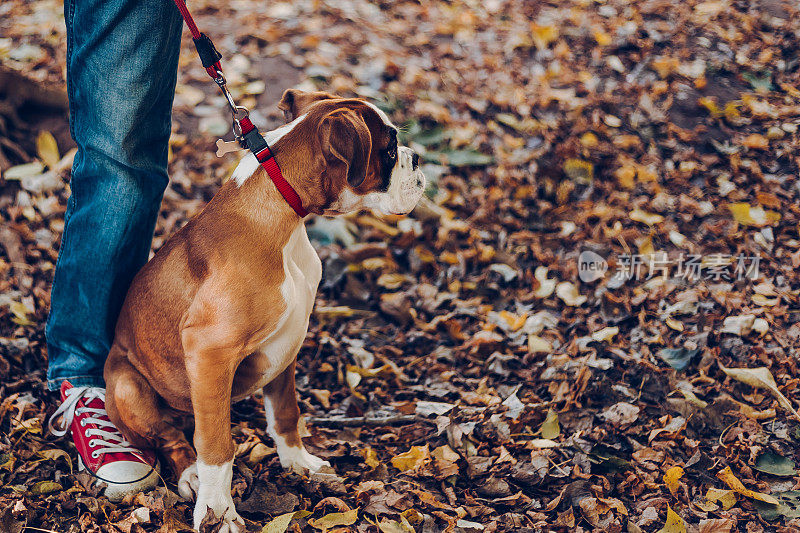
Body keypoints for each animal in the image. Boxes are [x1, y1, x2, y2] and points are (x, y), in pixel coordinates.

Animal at [104, 89, 428, 528]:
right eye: (390, 150)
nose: (417, 158)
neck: (286, 219)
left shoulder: (287, 345)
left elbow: (286, 411)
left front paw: (298, 462)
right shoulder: (208, 350)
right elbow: (216, 446)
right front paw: (218, 511)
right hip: (128, 386)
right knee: (172, 438)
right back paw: (190, 474)